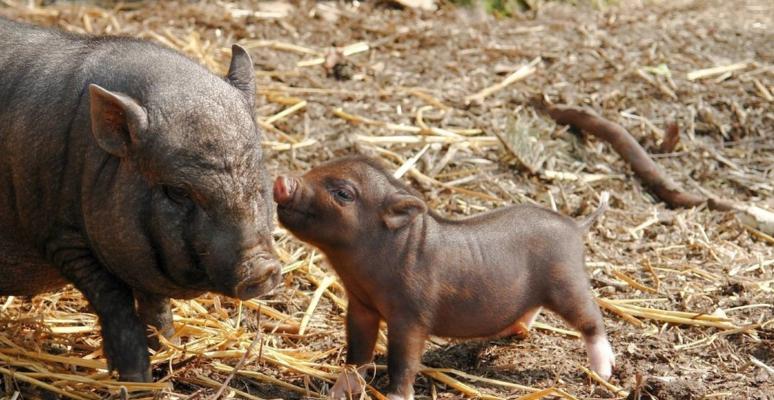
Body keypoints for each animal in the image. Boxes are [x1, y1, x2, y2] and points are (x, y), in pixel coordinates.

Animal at [0, 17, 284, 382]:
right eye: (177, 191)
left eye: (257, 173)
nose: (262, 269)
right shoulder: (58, 235)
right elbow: (114, 298)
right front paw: (138, 379)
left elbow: (155, 302)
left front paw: (169, 349)